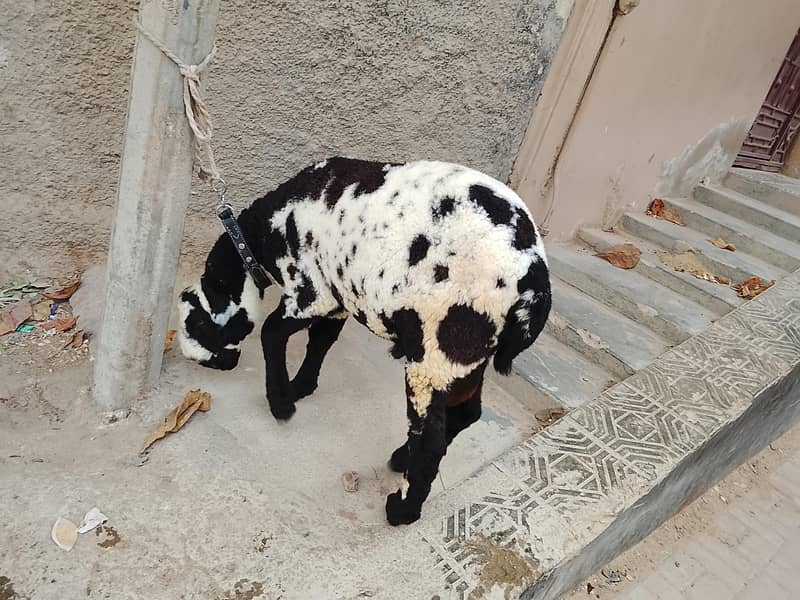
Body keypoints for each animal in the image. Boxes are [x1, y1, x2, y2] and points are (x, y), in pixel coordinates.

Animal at [177, 157, 551, 525]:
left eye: (195, 326)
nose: (220, 364)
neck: (260, 236)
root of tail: (534, 286)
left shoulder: (311, 294)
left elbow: (270, 332)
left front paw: (281, 404)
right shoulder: (337, 299)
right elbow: (320, 343)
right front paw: (299, 387)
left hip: (435, 356)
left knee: (431, 440)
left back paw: (402, 509)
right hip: (466, 358)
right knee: (467, 413)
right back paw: (401, 458)